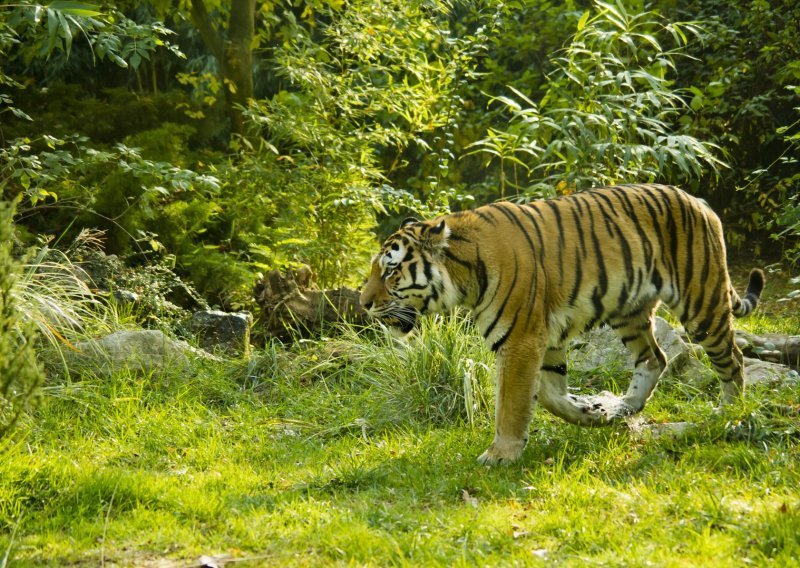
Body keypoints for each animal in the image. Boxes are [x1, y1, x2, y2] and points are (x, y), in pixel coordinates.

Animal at [360, 184, 764, 464]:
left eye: (391, 271)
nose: (364, 303)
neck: (463, 275)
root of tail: (700, 202)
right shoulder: (547, 337)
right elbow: (550, 395)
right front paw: (592, 414)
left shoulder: (520, 339)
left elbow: (511, 402)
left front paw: (500, 454)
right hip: (629, 311)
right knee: (655, 358)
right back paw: (623, 407)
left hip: (701, 302)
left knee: (733, 359)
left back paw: (728, 413)